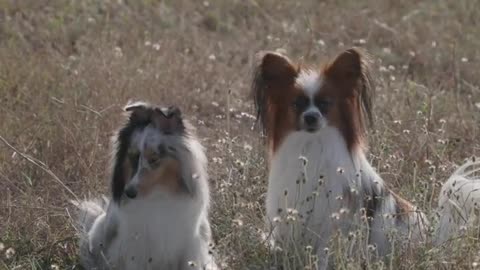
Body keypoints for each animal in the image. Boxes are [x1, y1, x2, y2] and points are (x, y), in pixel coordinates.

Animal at [73, 102, 216, 270]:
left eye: (154, 159)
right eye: (133, 156)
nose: (129, 192)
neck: (158, 194)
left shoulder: (190, 247)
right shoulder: (135, 249)